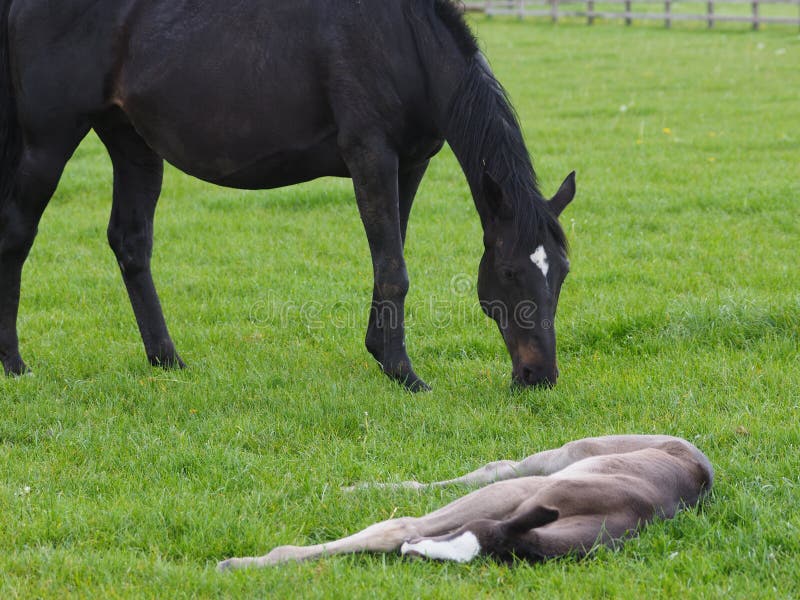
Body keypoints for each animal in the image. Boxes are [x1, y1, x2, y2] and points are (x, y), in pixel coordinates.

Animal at [0, 0, 576, 392]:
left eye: (562, 273)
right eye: (508, 273)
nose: (538, 374)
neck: (402, 39)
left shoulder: (410, 164)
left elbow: (390, 260)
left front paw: (381, 354)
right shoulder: (371, 155)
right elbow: (394, 268)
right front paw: (404, 373)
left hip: (133, 144)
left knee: (131, 243)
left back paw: (167, 359)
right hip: (48, 143)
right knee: (17, 237)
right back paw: (14, 363)